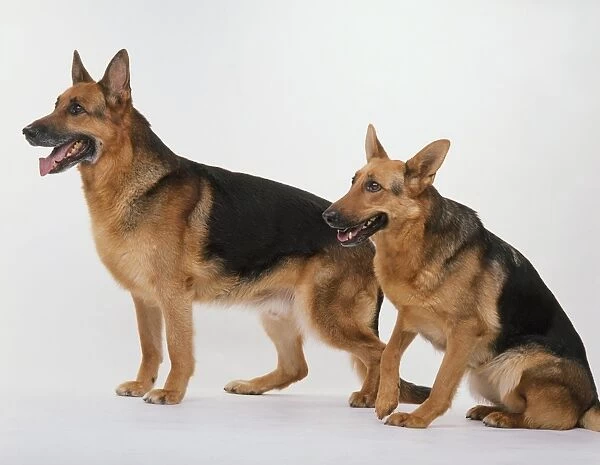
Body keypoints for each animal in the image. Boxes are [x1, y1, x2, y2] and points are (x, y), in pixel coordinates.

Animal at [22, 50, 432, 406]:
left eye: (76, 109)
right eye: (56, 104)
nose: (26, 131)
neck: (129, 180)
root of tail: (364, 240)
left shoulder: (173, 296)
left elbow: (178, 349)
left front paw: (170, 392)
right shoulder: (144, 299)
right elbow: (150, 347)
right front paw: (142, 385)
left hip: (324, 317)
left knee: (380, 352)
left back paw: (369, 397)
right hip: (277, 314)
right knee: (297, 367)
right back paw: (252, 386)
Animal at [326, 125, 596, 430]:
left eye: (373, 187)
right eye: (353, 181)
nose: (327, 216)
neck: (415, 241)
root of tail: (590, 403)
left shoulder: (463, 332)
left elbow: (443, 380)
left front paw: (418, 417)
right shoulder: (409, 316)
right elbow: (388, 352)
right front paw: (385, 398)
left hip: (515, 362)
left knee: (549, 419)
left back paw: (504, 417)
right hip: (485, 372)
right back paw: (487, 410)